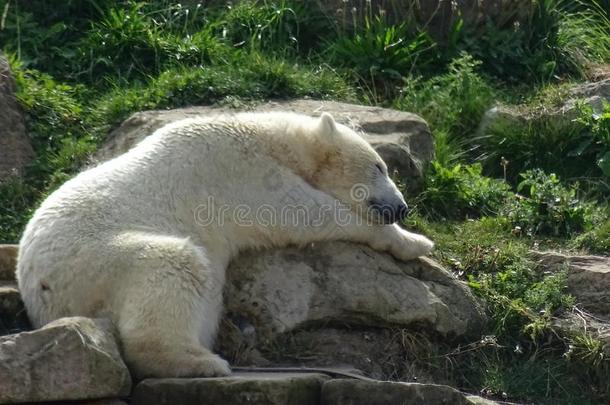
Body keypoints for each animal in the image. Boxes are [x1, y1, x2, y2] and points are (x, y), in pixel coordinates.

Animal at [15, 111, 432, 378]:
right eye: (379, 166)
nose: (402, 206)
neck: (268, 138)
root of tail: (39, 293)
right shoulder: (242, 172)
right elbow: (303, 214)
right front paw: (415, 241)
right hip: (94, 259)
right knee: (173, 263)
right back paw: (201, 362)